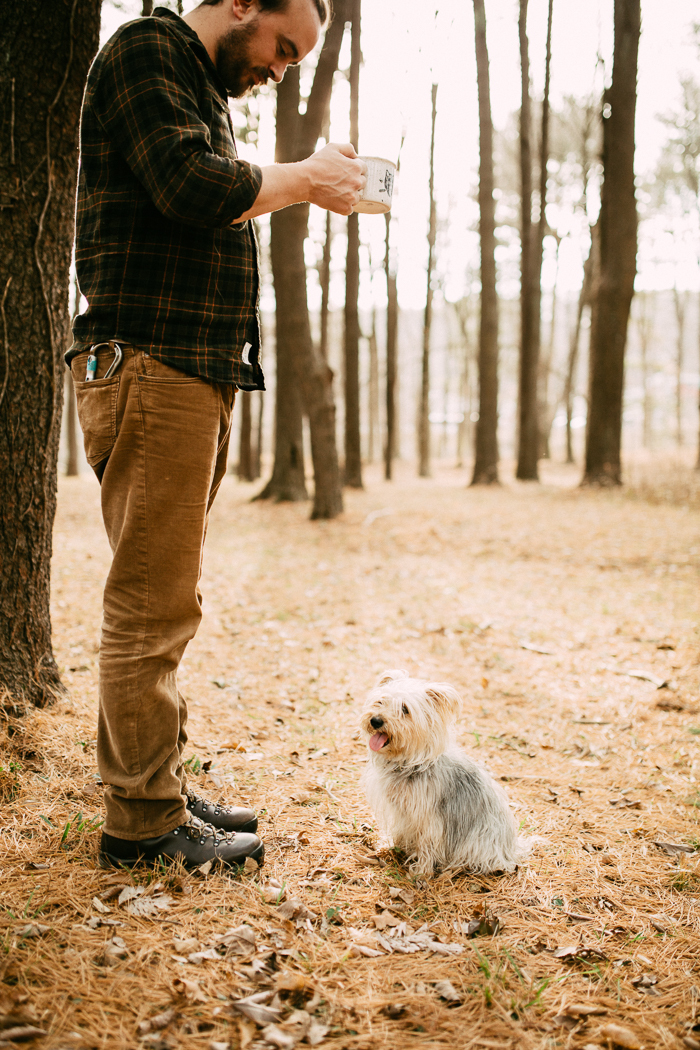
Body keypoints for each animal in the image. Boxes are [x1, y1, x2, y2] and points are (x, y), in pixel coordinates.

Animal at [361, 667, 524, 873]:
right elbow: (399, 831)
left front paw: (421, 871)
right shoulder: (402, 813)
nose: (375, 721)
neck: (408, 763)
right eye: (380, 702)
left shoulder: (431, 821)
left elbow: (427, 845)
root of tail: (511, 851)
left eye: (405, 709)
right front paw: (391, 848)